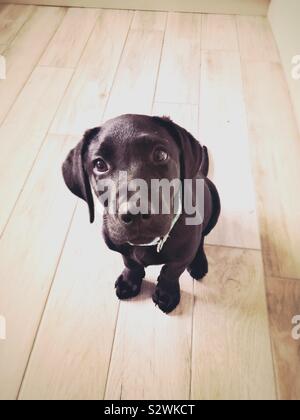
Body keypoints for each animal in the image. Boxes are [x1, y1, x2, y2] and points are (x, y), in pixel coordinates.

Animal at [62, 113, 220, 314]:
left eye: (160, 155)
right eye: (99, 164)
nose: (135, 212)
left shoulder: (182, 256)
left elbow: (170, 272)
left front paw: (167, 293)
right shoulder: (120, 246)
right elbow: (130, 263)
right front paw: (130, 281)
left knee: (202, 238)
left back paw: (198, 262)